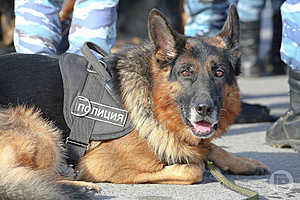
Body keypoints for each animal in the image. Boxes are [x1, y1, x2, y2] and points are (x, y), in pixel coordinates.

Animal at [0, 5, 268, 199]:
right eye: (185, 72)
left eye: (219, 73)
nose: (204, 109)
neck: (154, 99)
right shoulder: (102, 163)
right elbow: (194, 168)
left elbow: (210, 147)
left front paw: (244, 162)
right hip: (38, 128)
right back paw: (77, 185)